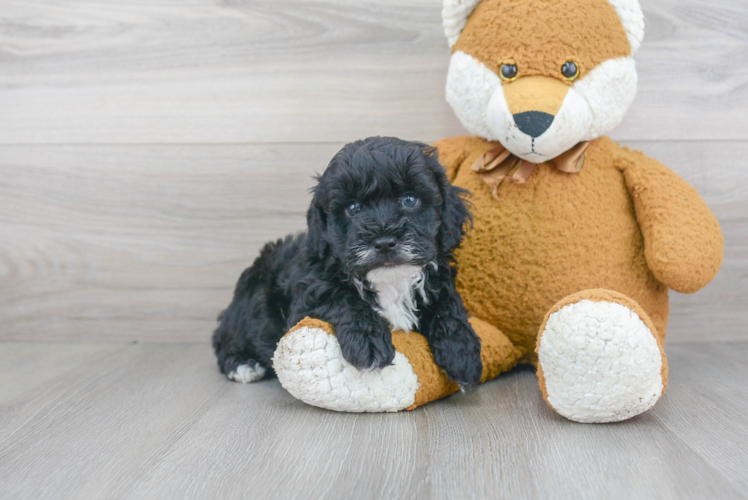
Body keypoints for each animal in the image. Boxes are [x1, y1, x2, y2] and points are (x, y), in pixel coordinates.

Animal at [212, 138, 480, 390]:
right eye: (353, 208)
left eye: (410, 200)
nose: (384, 242)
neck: (389, 281)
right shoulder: (308, 295)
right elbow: (342, 298)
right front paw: (369, 342)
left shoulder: (439, 281)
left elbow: (448, 306)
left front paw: (462, 353)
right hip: (253, 300)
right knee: (226, 338)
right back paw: (243, 365)